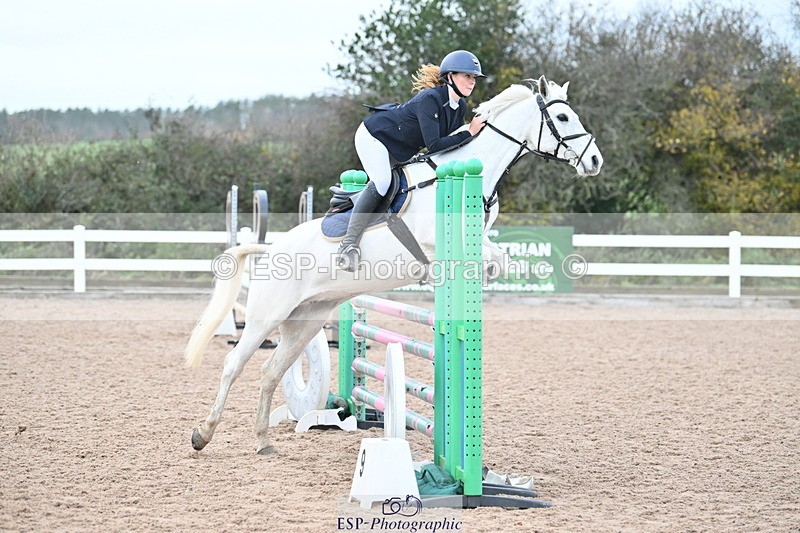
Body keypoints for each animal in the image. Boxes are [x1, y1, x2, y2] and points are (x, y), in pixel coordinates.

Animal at [184, 75, 603, 454]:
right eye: (562, 117)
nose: (595, 161)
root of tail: (269, 250)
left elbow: (499, 257)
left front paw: (488, 277)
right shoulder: (432, 242)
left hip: (305, 321)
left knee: (270, 371)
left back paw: (262, 441)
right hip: (266, 317)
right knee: (233, 364)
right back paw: (203, 434)